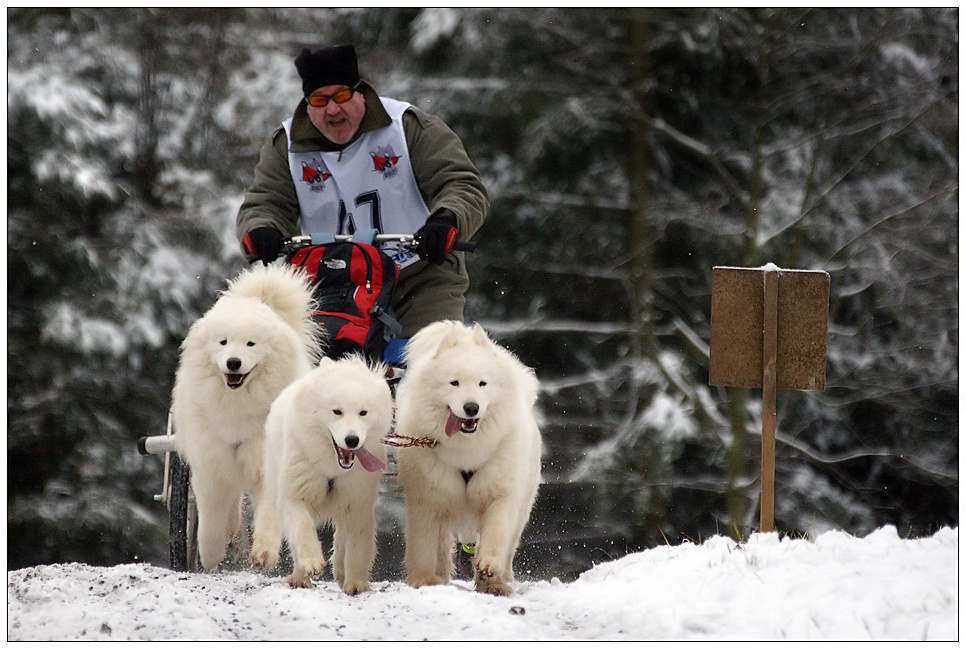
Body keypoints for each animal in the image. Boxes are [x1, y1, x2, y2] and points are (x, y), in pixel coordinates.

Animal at [174, 266, 322, 568]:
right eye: (223, 342)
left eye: (251, 343)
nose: (233, 362)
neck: (237, 407)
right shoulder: (210, 462)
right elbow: (211, 517)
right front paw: (210, 555)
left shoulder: (266, 461)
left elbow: (268, 513)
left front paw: (264, 552)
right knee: (233, 499)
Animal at [255, 354, 398, 592]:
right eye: (337, 411)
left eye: (363, 412)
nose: (352, 440)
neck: (333, 469)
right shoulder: (295, 494)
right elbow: (303, 529)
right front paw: (312, 563)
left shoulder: (358, 502)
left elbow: (357, 546)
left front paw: (356, 583)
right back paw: (299, 578)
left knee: (341, 538)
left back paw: (340, 572)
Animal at [396, 318, 544, 592]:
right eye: (454, 383)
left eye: (482, 383)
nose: (471, 407)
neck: (466, 450)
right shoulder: (427, 498)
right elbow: (423, 544)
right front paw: (424, 579)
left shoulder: (500, 494)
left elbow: (496, 533)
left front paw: (488, 566)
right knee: (441, 548)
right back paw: (441, 577)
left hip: (523, 505)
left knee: (510, 544)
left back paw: (498, 583)